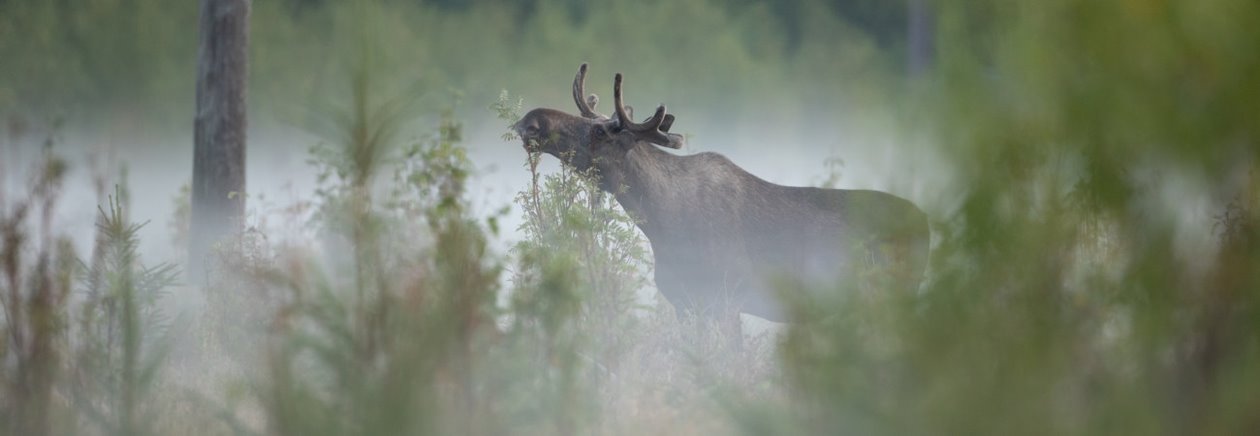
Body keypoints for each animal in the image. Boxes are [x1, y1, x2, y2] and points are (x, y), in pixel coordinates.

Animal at [509, 63, 927, 330]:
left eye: (598, 132)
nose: (530, 121)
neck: (660, 222)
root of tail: (926, 225)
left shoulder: (725, 300)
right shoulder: (684, 303)